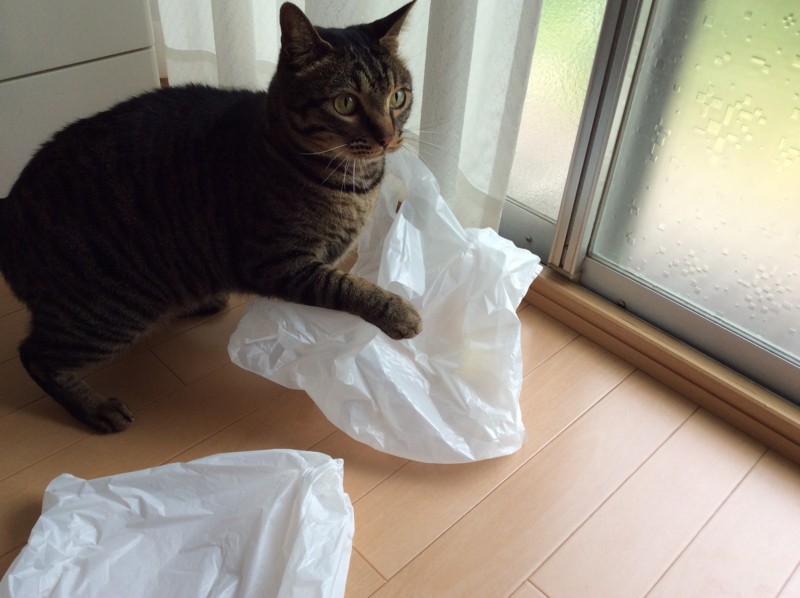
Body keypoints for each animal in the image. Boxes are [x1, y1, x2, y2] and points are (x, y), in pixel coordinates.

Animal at [0, 1, 421, 433]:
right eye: (345, 104)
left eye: (398, 97)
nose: (388, 138)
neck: (354, 185)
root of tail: (8, 210)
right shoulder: (274, 261)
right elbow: (344, 286)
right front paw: (396, 311)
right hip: (107, 310)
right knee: (34, 355)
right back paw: (96, 409)